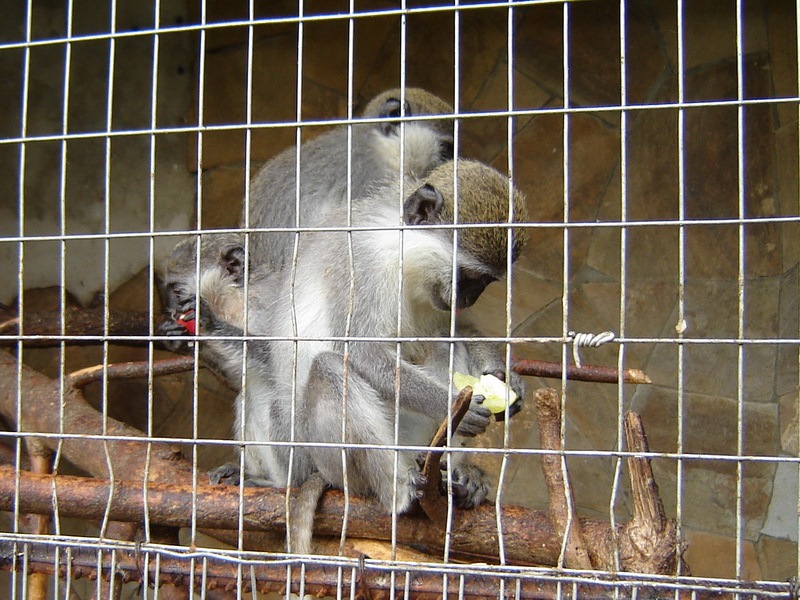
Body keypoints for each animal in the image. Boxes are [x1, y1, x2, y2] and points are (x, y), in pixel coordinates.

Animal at [176, 158, 528, 552]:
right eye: (469, 277)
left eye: (483, 283)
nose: (468, 298)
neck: (400, 252)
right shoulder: (362, 263)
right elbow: (363, 352)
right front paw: (453, 406)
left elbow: (457, 330)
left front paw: (504, 377)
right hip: (323, 457)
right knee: (327, 368)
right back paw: (397, 489)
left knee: (441, 343)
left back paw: (454, 475)